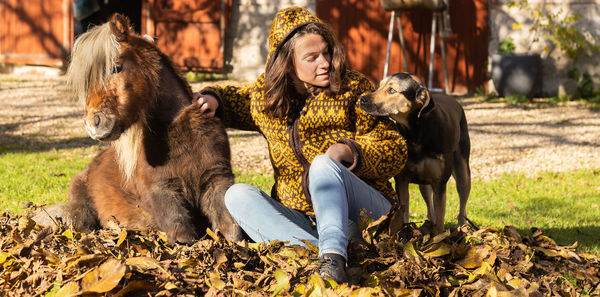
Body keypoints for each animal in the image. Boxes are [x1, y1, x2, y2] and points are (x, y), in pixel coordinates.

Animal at [65, 13, 241, 243]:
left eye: (115, 67)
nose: (93, 124)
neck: (182, 136)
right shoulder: (163, 193)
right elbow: (185, 239)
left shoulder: (217, 181)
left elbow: (234, 233)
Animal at [358, 71, 472, 231]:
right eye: (379, 86)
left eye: (391, 90)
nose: (362, 99)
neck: (416, 133)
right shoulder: (402, 181)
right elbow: (404, 214)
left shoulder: (440, 183)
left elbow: (440, 220)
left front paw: (439, 235)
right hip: (423, 183)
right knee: (430, 206)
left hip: (463, 171)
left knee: (462, 202)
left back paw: (462, 227)